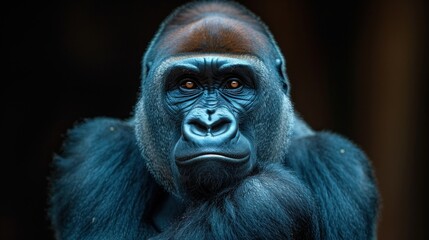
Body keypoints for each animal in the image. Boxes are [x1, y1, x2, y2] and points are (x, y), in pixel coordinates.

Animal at [49, 0, 378, 239]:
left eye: (234, 84)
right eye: (188, 84)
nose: (209, 125)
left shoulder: (335, 161)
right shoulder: (98, 148)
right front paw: (261, 198)